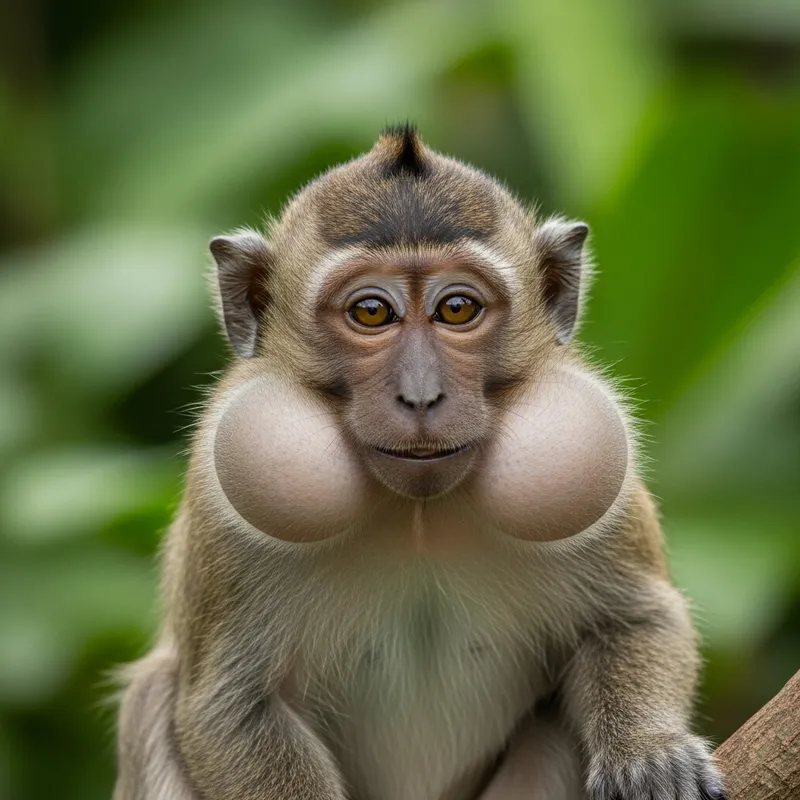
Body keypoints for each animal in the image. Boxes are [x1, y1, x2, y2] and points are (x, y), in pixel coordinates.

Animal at [114, 125, 727, 800]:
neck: (418, 513)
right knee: (152, 697)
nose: (421, 395)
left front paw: (648, 753)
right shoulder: (221, 509)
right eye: (371, 312)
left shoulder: (608, 496)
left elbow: (637, 619)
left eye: (457, 309)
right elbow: (227, 708)